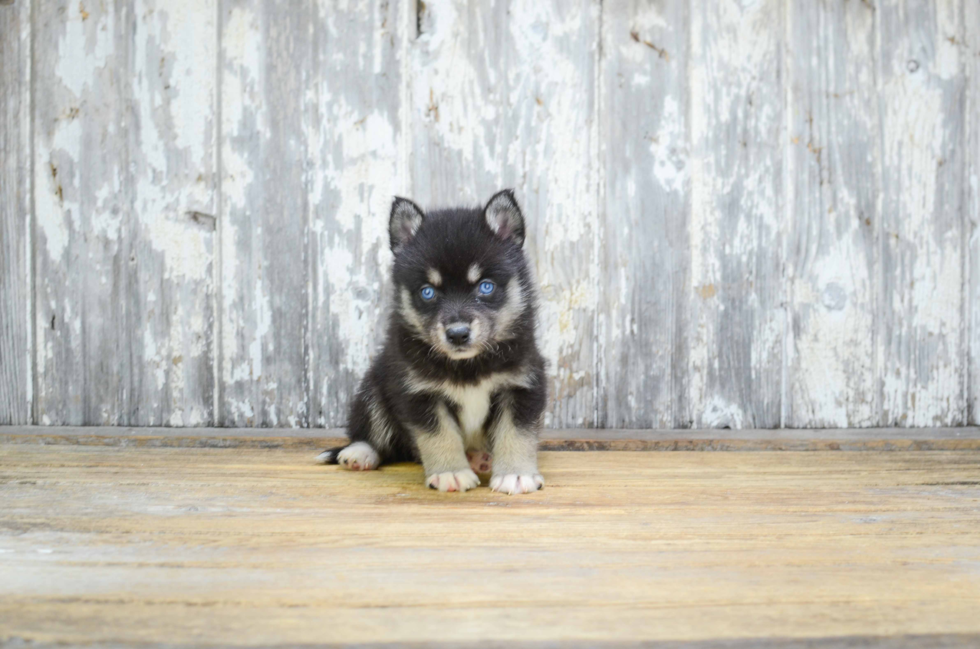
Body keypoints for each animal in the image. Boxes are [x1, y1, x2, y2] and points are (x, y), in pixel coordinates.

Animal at [322, 190, 552, 494]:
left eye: (486, 286)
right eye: (427, 292)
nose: (457, 334)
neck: (467, 366)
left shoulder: (522, 385)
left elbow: (516, 433)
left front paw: (516, 474)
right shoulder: (418, 392)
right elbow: (439, 434)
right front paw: (450, 473)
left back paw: (479, 458)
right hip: (373, 387)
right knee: (375, 435)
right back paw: (359, 453)